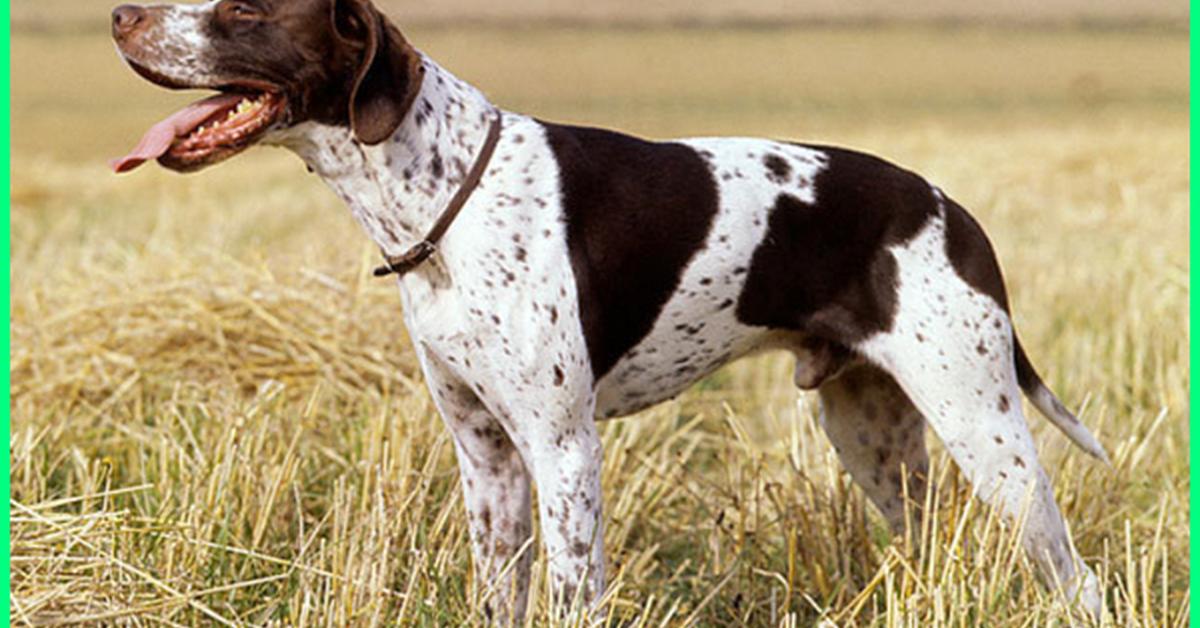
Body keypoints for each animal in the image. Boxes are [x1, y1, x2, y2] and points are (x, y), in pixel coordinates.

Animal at [112, 0, 1104, 619]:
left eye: (244, 10)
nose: (121, 14)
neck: (447, 190)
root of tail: (950, 208)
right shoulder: (486, 458)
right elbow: (500, 597)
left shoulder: (563, 450)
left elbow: (572, 595)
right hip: (875, 439)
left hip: (986, 430)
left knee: (1079, 580)